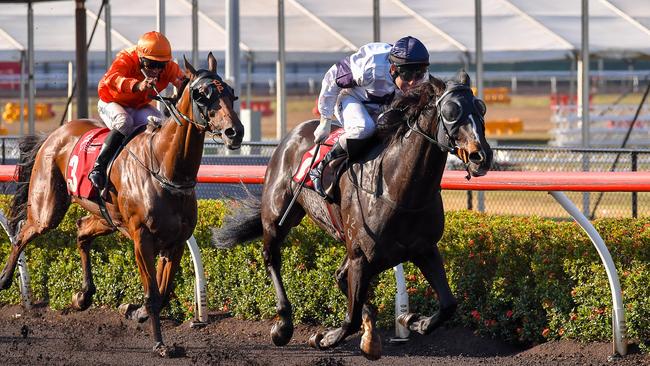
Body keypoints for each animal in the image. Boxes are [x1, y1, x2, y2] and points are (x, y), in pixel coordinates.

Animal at [0, 53, 243, 356]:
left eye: (231, 93)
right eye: (201, 95)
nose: (235, 132)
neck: (165, 169)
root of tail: (54, 134)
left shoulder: (175, 242)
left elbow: (163, 292)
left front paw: (135, 311)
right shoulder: (142, 239)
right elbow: (153, 294)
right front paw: (159, 344)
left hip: (107, 217)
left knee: (81, 229)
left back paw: (83, 296)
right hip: (47, 208)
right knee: (22, 233)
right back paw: (5, 279)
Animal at [213, 71, 492, 360]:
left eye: (481, 108)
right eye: (451, 111)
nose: (481, 156)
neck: (397, 187)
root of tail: (292, 136)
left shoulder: (422, 248)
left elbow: (448, 304)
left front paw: (413, 320)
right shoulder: (361, 254)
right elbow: (351, 317)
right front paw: (324, 338)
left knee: (339, 276)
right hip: (277, 216)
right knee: (271, 257)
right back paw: (283, 324)